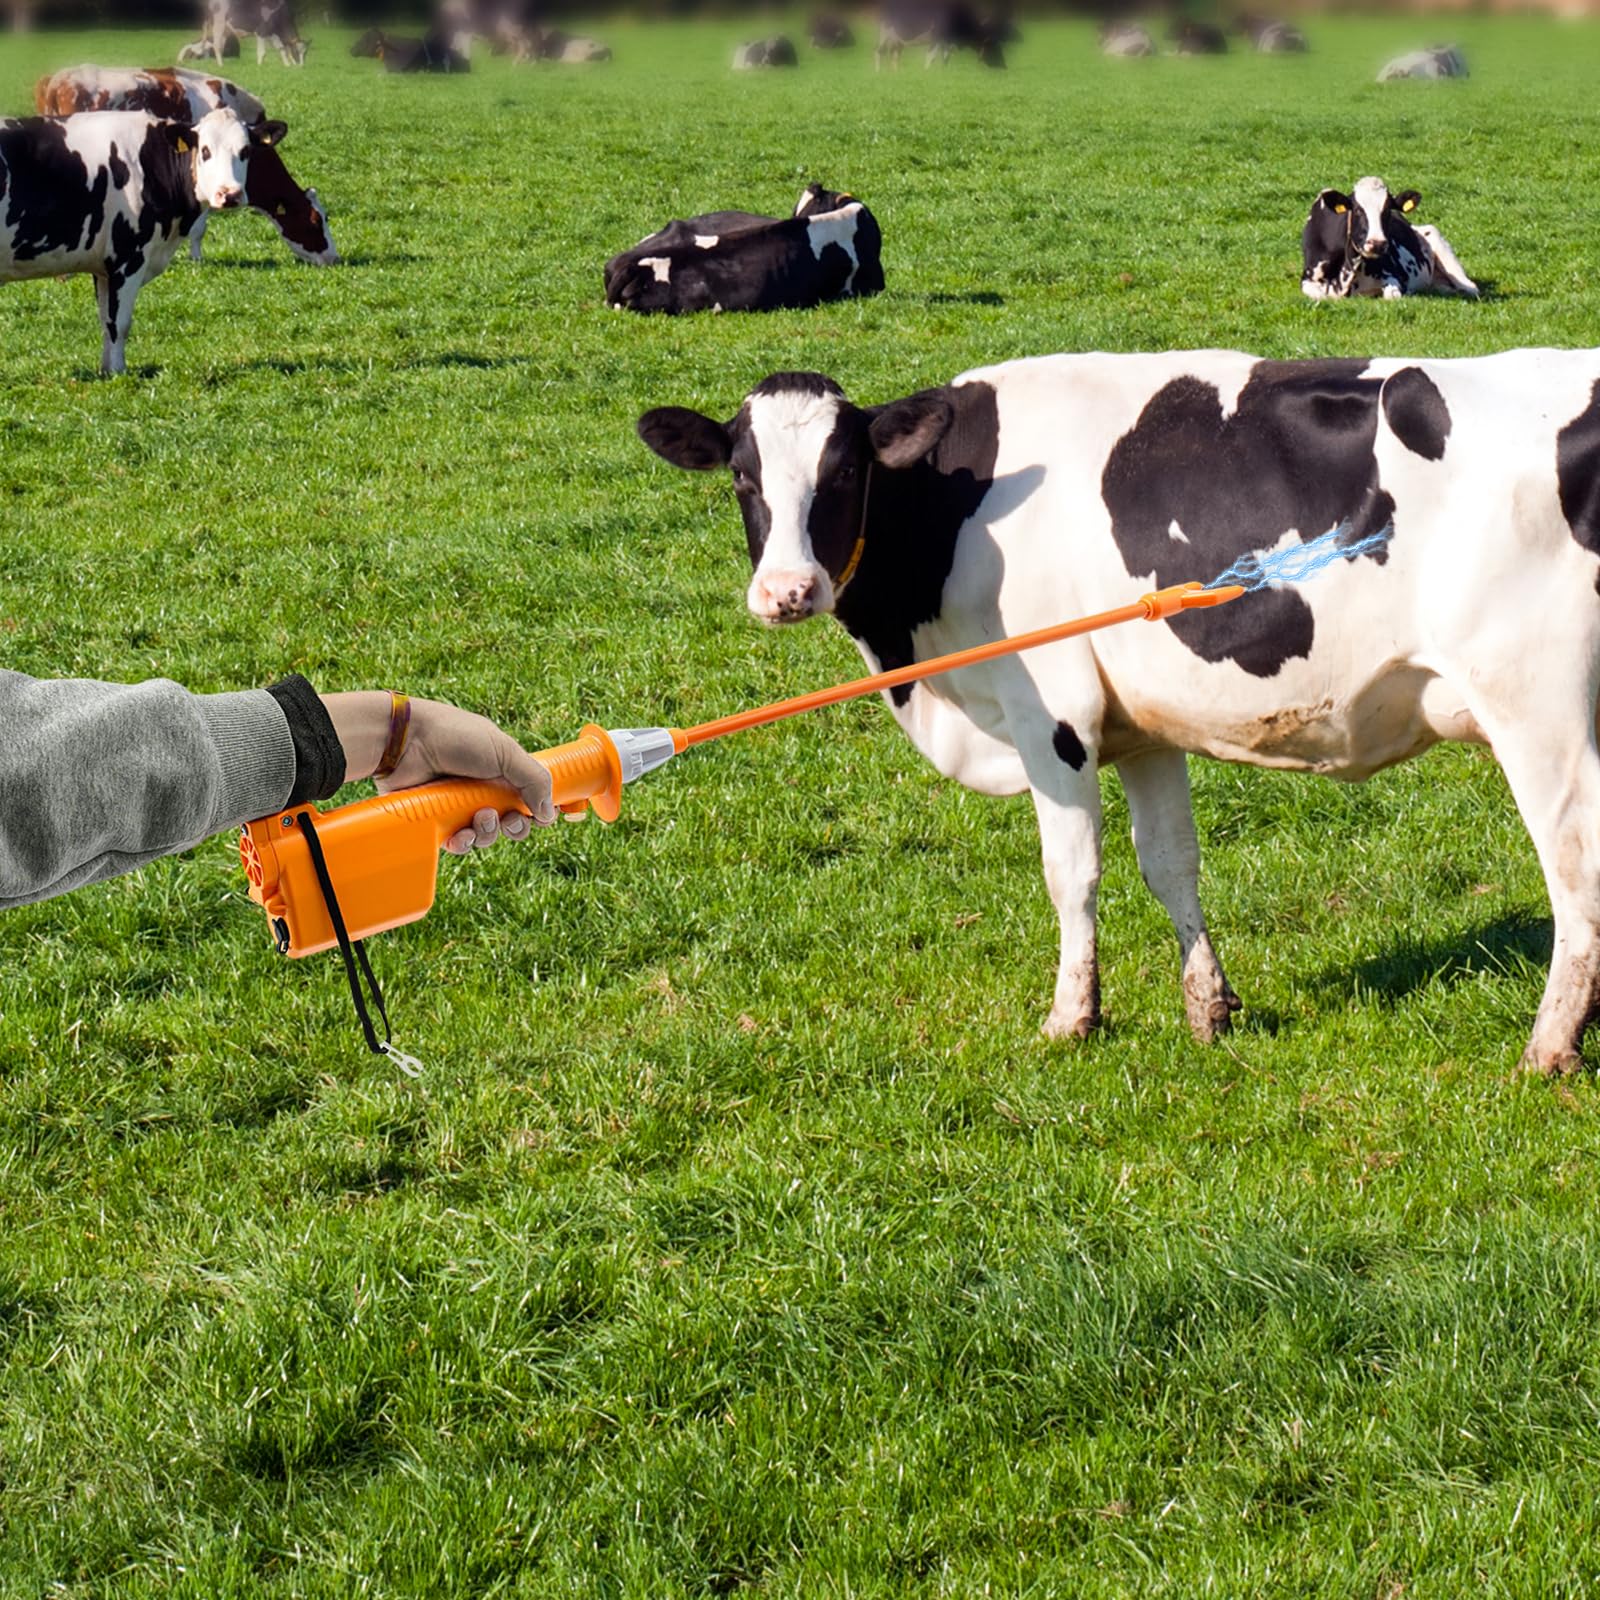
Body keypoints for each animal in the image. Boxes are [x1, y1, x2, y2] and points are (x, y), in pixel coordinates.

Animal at [0, 107, 281, 374]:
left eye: (245, 150)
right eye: (205, 150)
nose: (230, 194)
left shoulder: (104, 267)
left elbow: (106, 321)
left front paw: (106, 370)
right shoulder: (128, 258)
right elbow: (119, 323)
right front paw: (118, 371)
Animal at [635, 350, 1600, 1074]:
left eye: (843, 472)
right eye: (743, 478)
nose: (786, 592)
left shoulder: (1052, 715)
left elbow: (1073, 873)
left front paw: (1072, 1018)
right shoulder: (1142, 727)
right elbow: (1171, 863)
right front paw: (1210, 1009)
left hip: (1535, 704)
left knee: (1574, 869)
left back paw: (1548, 1049)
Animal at [875, 0, 1006, 67]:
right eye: (994, 45)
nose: (1004, 66)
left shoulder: (947, 42)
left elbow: (945, 59)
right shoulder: (936, 38)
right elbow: (931, 57)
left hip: (898, 40)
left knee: (895, 55)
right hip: (884, 32)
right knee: (878, 51)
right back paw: (878, 74)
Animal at [1301, 178, 1477, 301]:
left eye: (1387, 210)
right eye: (1357, 209)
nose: (1377, 243)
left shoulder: (1394, 276)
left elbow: (1392, 296)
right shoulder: (1307, 279)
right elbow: (1322, 296)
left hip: (1434, 236)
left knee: (1471, 288)